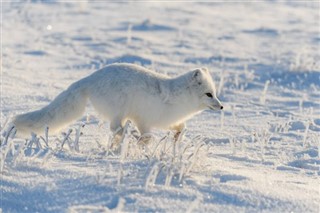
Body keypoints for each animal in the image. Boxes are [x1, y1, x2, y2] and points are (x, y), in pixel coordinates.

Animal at [11, 62, 222, 137]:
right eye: (208, 94)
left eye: (215, 93)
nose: (221, 107)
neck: (177, 98)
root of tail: (90, 78)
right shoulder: (142, 119)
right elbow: (147, 137)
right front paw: (141, 144)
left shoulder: (167, 121)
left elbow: (181, 127)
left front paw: (177, 138)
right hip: (119, 109)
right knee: (115, 127)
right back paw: (125, 136)